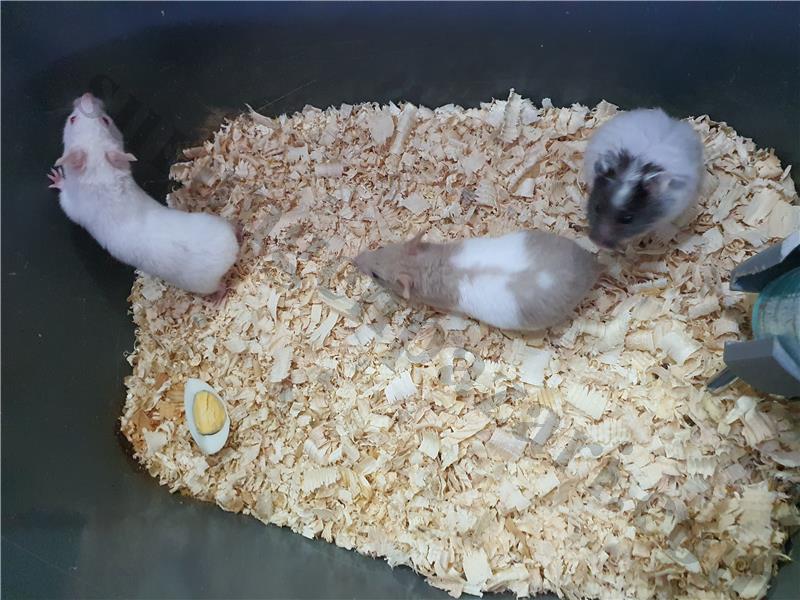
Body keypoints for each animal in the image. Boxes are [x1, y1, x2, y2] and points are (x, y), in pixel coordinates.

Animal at [47, 93, 240, 301]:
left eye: (105, 120)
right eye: (74, 119)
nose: (87, 95)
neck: (102, 172)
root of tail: (232, 251)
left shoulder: (73, 205)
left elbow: (65, 202)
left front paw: (56, 177)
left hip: (204, 284)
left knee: (218, 287)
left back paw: (219, 297)